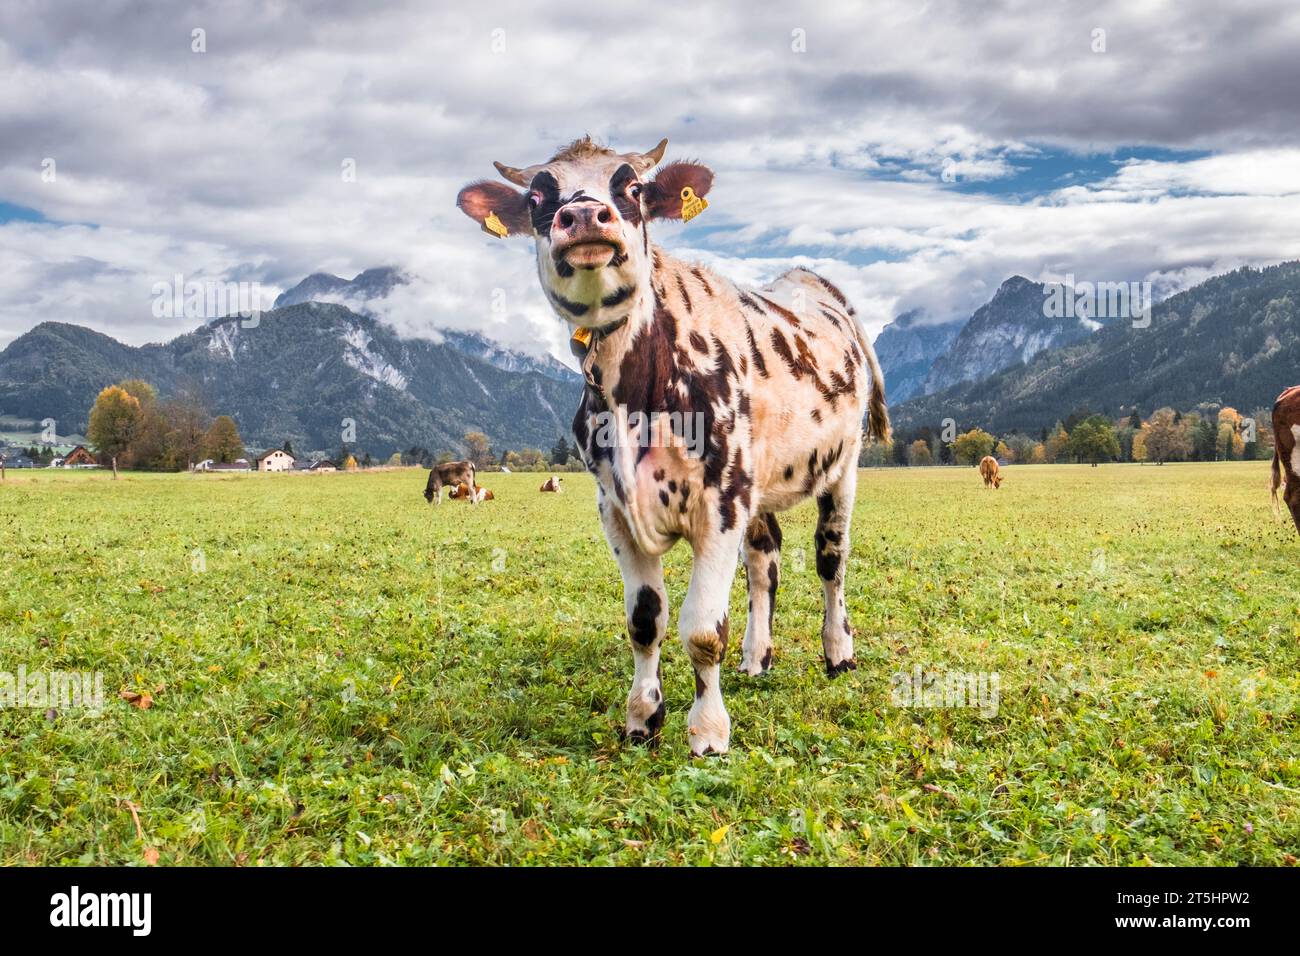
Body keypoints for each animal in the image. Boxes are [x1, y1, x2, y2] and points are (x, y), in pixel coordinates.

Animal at [457, 136, 889, 756]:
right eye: (538, 196)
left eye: (633, 188)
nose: (583, 215)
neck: (631, 391)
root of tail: (811, 282)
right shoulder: (616, 508)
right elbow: (646, 621)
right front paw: (643, 717)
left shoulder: (720, 503)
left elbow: (703, 629)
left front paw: (708, 730)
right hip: (758, 485)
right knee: (766, 560)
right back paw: (757, 657)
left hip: (842, 466)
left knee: (831, 560)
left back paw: (838, 652)